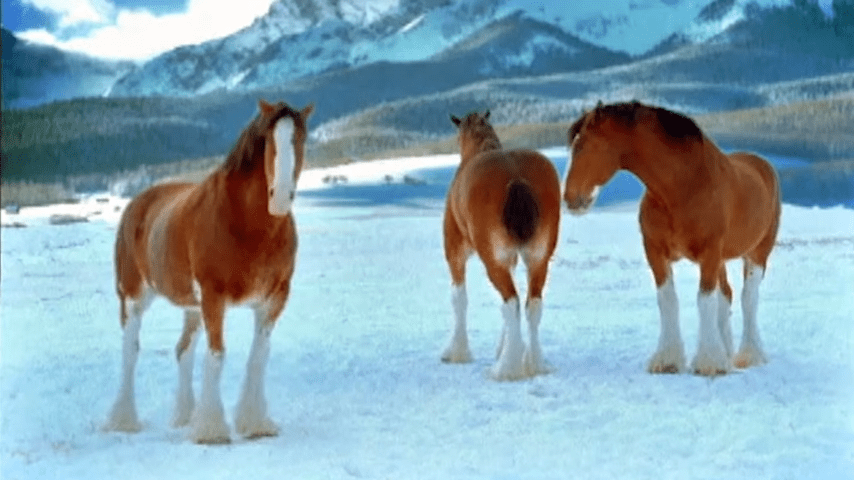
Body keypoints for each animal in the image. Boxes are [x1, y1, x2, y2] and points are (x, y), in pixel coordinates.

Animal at [104, 99, 314, 443]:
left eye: (300, 138)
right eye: (269, 142)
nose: (281, 196)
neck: (247, 225)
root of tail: (138, 203)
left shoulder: (274, 299)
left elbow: (258, 357)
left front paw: (255, 424)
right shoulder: (215, 298)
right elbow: (217, 356)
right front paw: (212, 431)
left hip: (192, 306)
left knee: (183, 351)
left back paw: (185, 416)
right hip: (134, 297)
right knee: (129, 352)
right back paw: (123, 420)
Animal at [442, 111, 561, 381]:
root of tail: (515, 176)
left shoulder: (455, 252)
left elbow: (458, 298)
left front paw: (457, 351)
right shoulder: (514, 257)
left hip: (492, 260)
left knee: (511, 302)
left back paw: (505, 368)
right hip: (539, 258)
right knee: (532, 304)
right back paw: (535, 363)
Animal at [564, 101, 780, 376]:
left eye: (582, 146)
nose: (570, 199)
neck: (682, 187)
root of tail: (762, 164)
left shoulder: (709, 253)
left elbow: (704, 300)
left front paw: (708, 363)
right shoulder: (656, 252)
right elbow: (668, 300)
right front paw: (668, 360)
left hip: (757, 253)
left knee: (748, 299)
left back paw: (749, 355)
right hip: (722, 260)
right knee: (727, 295)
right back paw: (726, 353)